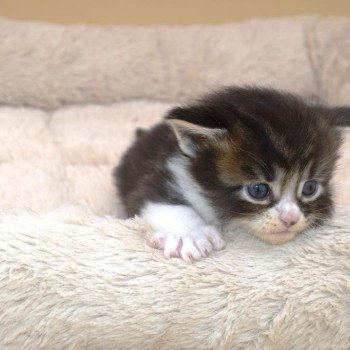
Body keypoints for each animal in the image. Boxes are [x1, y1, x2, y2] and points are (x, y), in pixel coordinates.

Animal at [114, 87, 348, 262]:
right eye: (258, 190)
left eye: (310, 188)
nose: (290, 219)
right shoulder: (158, 173)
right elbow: (158, 199)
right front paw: (188, 235)